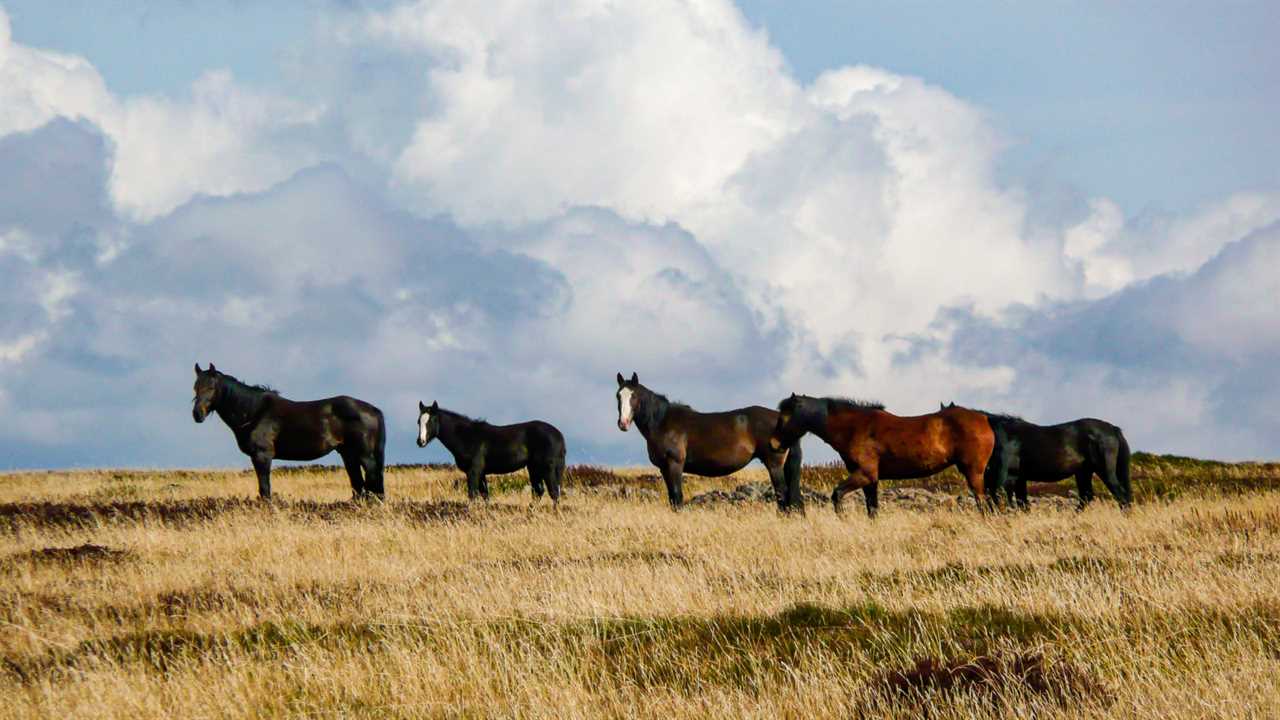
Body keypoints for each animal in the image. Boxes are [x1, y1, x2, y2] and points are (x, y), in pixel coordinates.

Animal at [190, 361, 384, 497]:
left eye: (211, 387)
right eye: (195, 387)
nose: (197, 414)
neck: (255, 411)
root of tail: (372, 409)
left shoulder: (262, 456)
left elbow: (265, 489)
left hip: (364, 455)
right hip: (348, 454)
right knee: (358, 484)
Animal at [417, 397, 568, 504]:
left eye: (432, 420)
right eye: (419, 421)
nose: (420, 441)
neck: (467, 437)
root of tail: (559, 435)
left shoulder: (473, 471)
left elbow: (472, 495)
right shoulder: (481, 473)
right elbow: (485, 496)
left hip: (547, 468)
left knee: (553, 493)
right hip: (534, 468)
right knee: (539, 492)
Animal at [614, 368, 803, 509]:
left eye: (634, 396)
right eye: (618, 395)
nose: (622, 423)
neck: (663, 422)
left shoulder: (675, 464)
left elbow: (677, 497)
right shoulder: (664, 468)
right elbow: (672, 498)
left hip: (774, 464)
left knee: (783, 495)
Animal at [762, 392, 993, 515]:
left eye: (784, 417)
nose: (773, 444)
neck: (855, 427)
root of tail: (985, 419)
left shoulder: (865, 474)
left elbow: (837, 494)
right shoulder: (871, 479)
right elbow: (872, 509)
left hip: (973, 472)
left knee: (983, 502)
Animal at [942, 399, 1131, 507]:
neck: (997, 435)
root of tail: (1112, 429)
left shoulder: (1005, 478)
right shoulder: (1019, 479)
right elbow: (1022, 504)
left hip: (1104, 471)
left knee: (1121, 497)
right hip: (1083, 472)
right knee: (1086, 498)